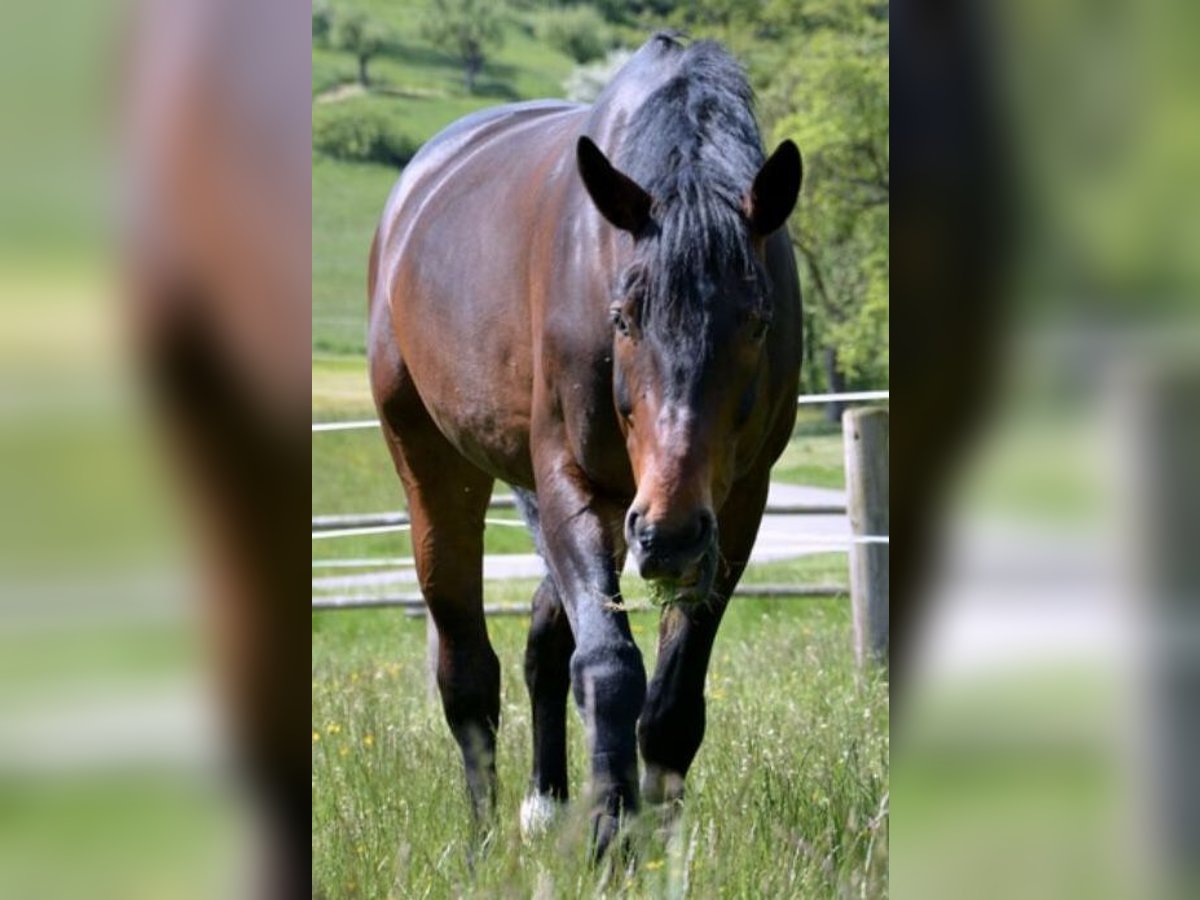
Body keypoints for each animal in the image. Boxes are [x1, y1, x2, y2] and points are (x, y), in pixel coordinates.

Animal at [362, 33, 796, 854]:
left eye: (758, 321)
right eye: (623, 316)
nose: (671, 535)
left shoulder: (737, 506)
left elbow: (672, 700)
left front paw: (658, 846)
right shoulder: (573, 480)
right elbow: (608, 668)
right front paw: (611, 838)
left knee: (541, 638)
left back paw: (544, 803)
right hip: (435, 467)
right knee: (468, 671)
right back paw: (485, 845)